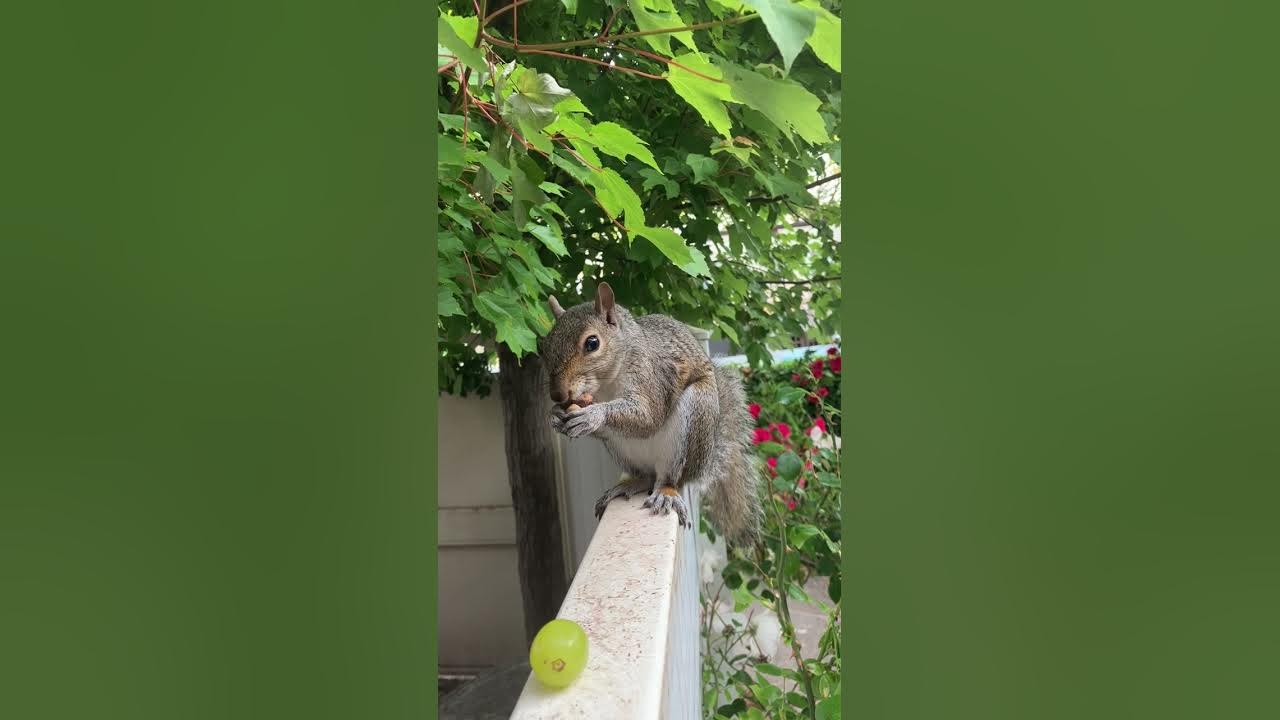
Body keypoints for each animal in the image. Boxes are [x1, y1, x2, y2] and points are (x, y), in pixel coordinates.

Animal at [539, 281, 761, 545]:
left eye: (592, 343)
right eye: (544, 346)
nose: (558, 395)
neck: (606, 384)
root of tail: (703, 464)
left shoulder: (653, 376)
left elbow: (649, 416)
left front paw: (594, 415)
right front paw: (555, 415)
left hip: (693, 420)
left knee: (670, 478)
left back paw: (666, 492)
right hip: (621, 448)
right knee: (646, 475)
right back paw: (628, 485)